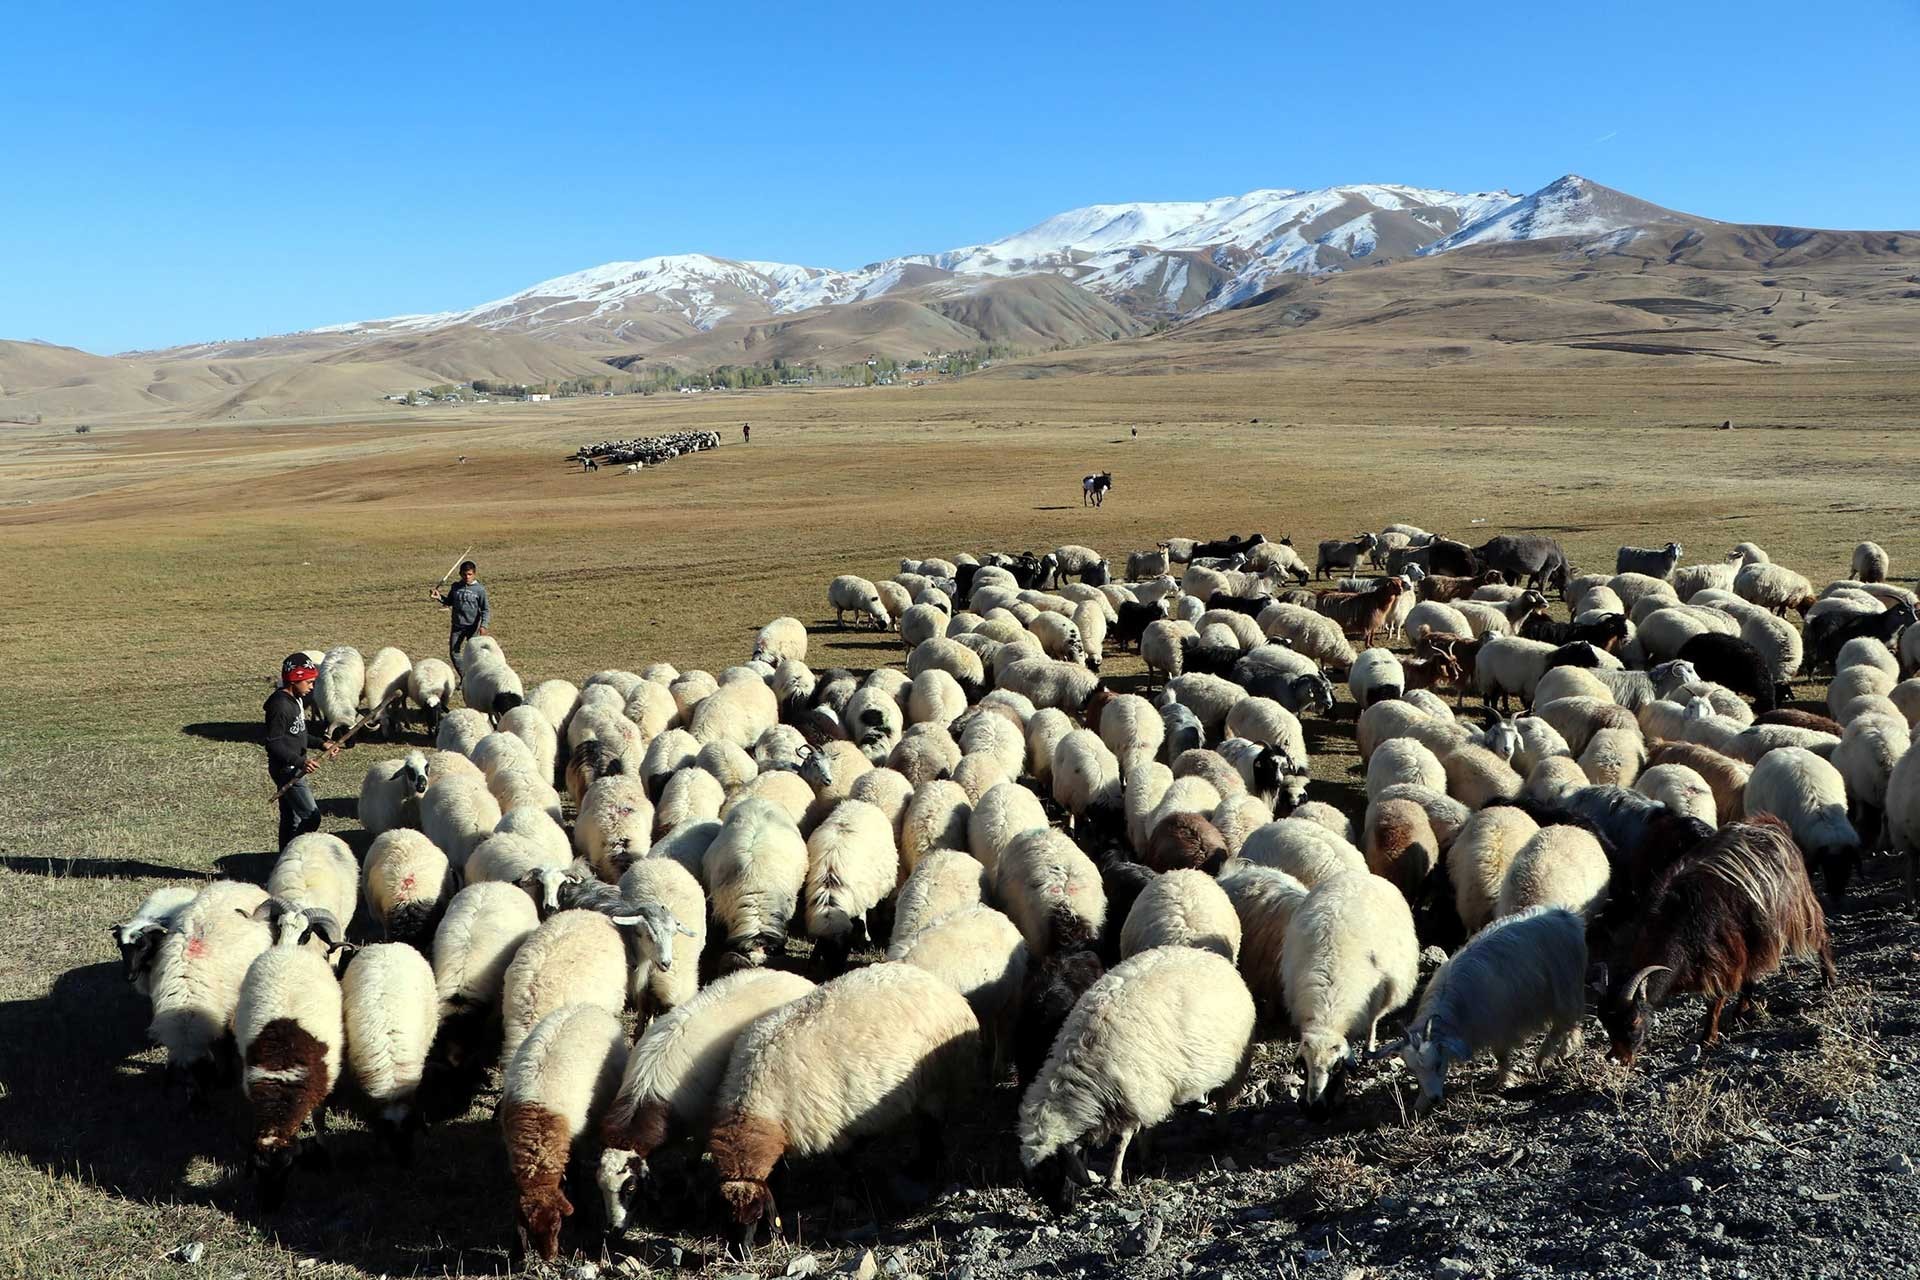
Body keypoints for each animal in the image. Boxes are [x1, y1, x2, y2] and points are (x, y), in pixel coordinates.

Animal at [1597, 817, 1835, 1066]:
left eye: (1633, 1020)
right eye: (1606, 1023)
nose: (1619, 1059)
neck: (1676, 922)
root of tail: (1773, 827)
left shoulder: (1722, 958)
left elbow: (1716, 999)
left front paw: (1707, 1038)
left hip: (1796, 909)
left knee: (1820, 937)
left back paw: (1829, 979)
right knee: (1752, 972)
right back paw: (1741, 1012)